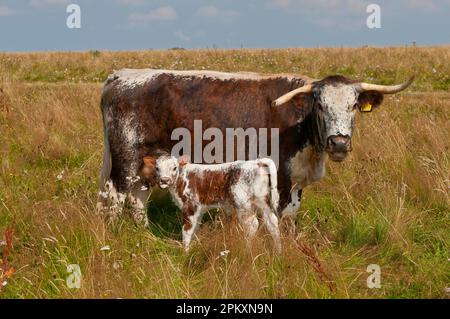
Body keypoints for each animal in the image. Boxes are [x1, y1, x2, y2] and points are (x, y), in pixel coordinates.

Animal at [96, 69, 414, 226]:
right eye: (320, 105)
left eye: (353, 106)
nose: (338, 142)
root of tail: (120, 76)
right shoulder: (280, 178)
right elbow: (278, 216)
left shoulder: (296, 181)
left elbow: (291, 215)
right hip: (124, 160)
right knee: (115, 197)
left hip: (147, 161)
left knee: (138, 198)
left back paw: (143, 235)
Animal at [142, 156, 282, 254]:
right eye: (157, 168)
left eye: (174, 167)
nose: (164, 180)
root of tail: (256, 162)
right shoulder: (199, 210)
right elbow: (195, 229)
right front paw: (193, 248)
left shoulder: (190, 206)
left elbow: (186, 229)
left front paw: (185, 252)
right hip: (263, 201)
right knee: (272, 222)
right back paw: (278, 252)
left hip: (242, 203)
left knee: (252, 225)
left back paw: (247, 250)